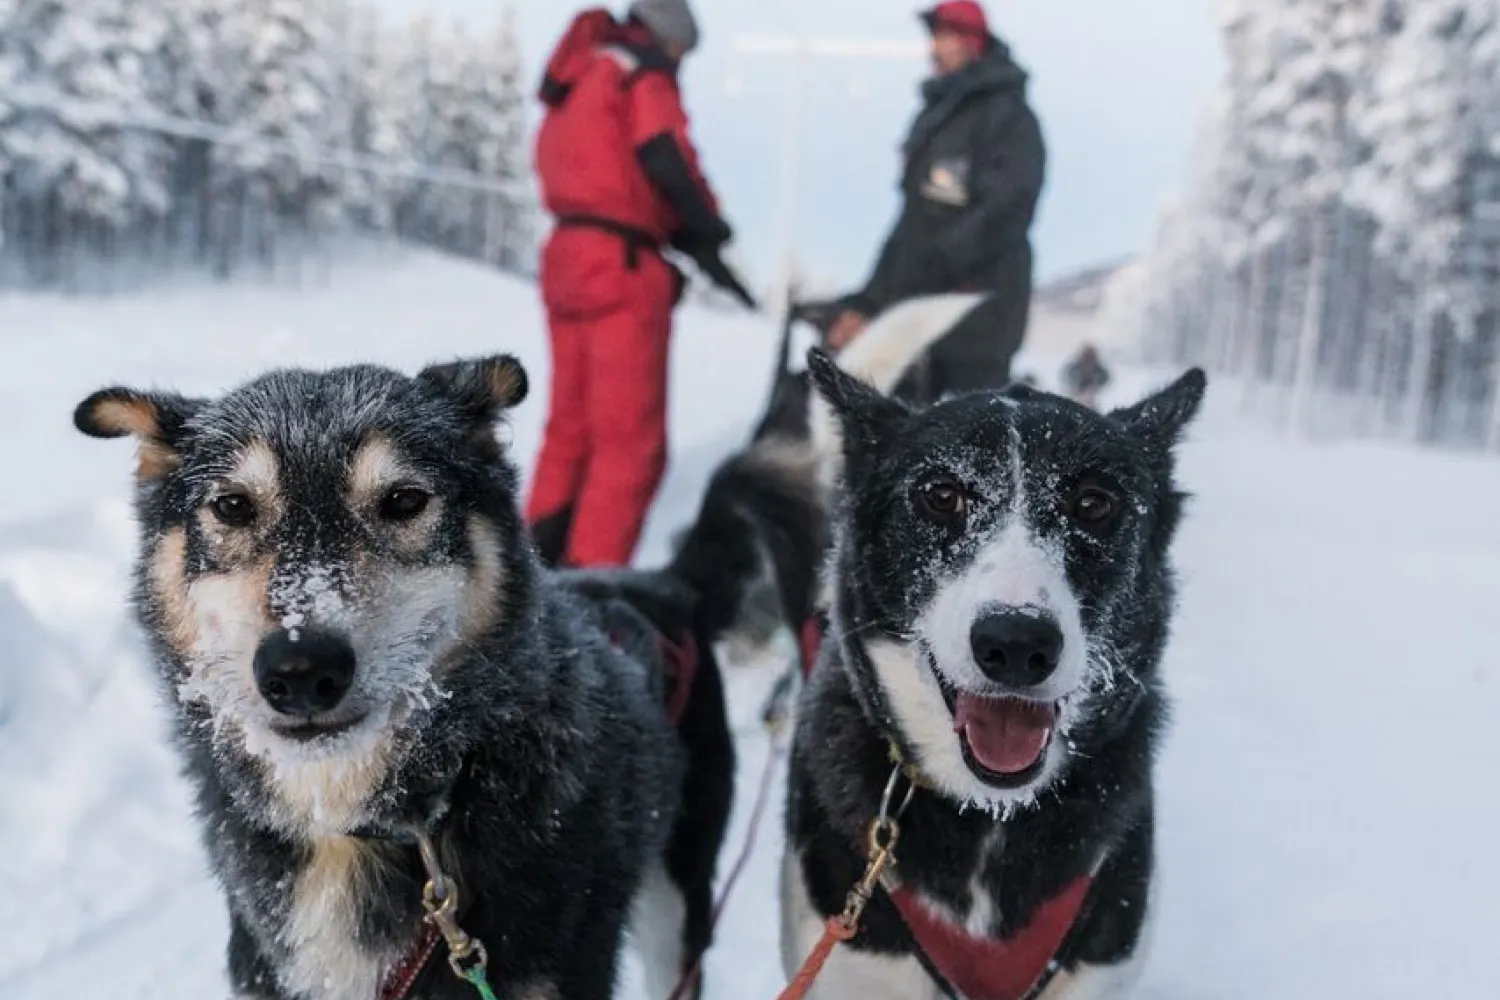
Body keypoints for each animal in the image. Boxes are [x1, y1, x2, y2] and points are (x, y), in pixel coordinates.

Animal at [71, 358, 822, 1000]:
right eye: (231, 506)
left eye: (404, 499)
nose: (301, 669)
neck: (358, 826)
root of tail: (660, 584)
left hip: (678, 904)